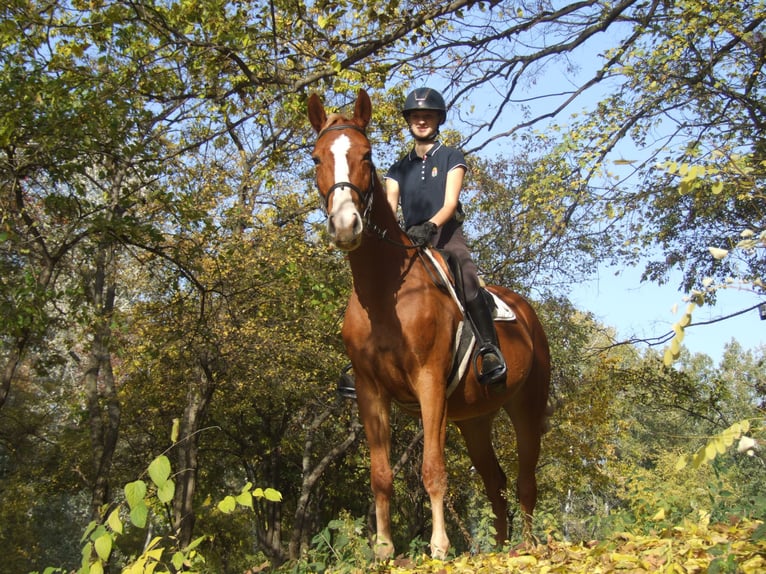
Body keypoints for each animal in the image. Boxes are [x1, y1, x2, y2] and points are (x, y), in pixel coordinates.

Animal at [308, 90, 556, 564]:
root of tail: (527, 312)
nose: (346, 225)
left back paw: (527, 547)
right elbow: (381, 473)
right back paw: (497, 549)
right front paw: (384, 548)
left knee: (525, 479)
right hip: (474, 420)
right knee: (495, 483)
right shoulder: (370, 391)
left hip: (526, 408)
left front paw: (439, 547)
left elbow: (432, 469)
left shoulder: (429, 385)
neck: (385, 293)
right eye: (316, 157)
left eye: (366, 155)